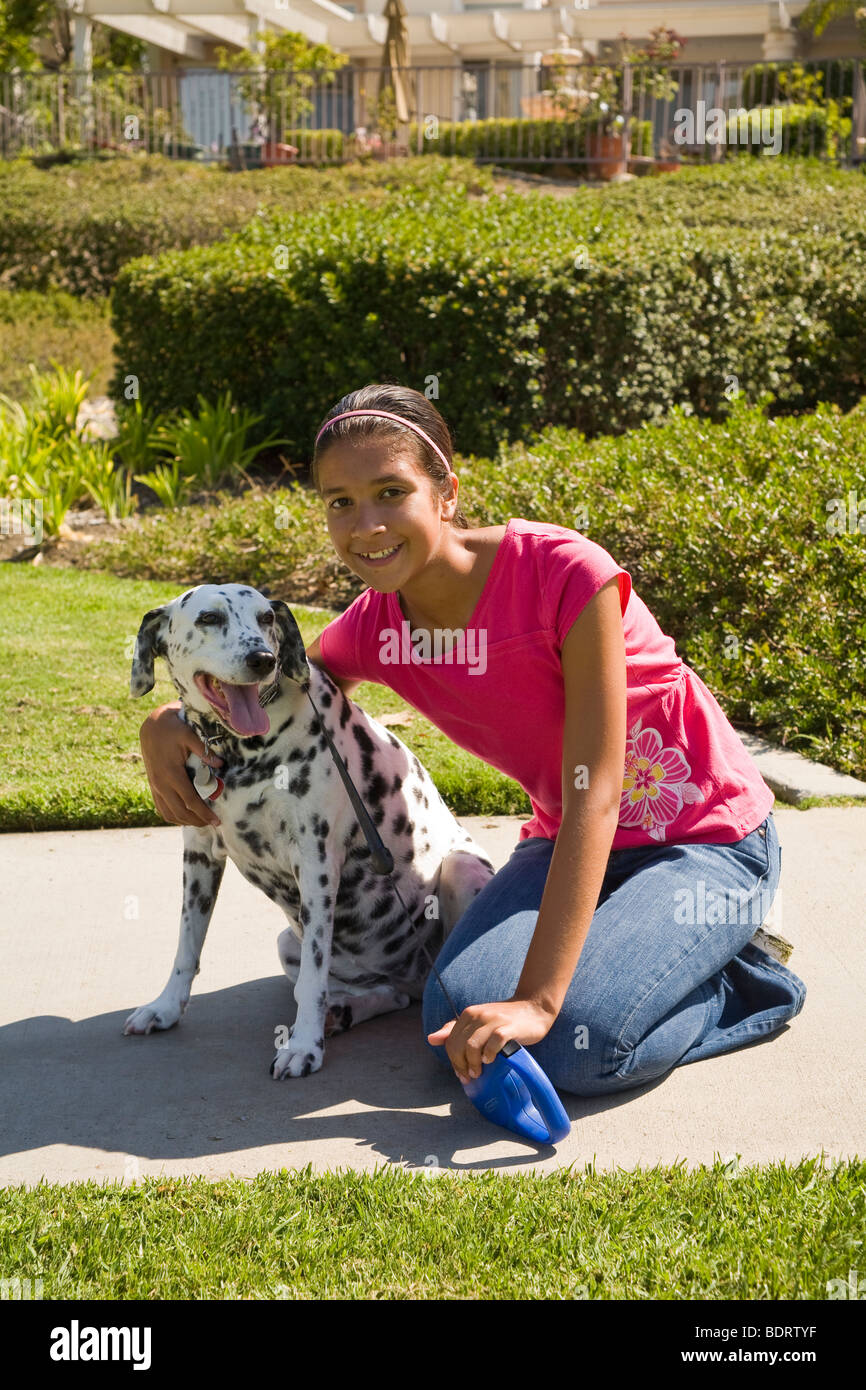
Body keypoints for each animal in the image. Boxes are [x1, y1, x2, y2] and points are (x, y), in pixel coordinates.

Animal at [125, 581, 497, 1078]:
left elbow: (312, 980)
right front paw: (164, 1008)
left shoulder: (317, 865)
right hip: (288, 941)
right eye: (209, 618)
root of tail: (419, 977)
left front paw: (304, 1045)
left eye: (266, 618)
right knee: (388, 994)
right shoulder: (199, 855)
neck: (240, 751)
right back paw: (346, 1011)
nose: (262, 658)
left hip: (461, 870)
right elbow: (187, 946)